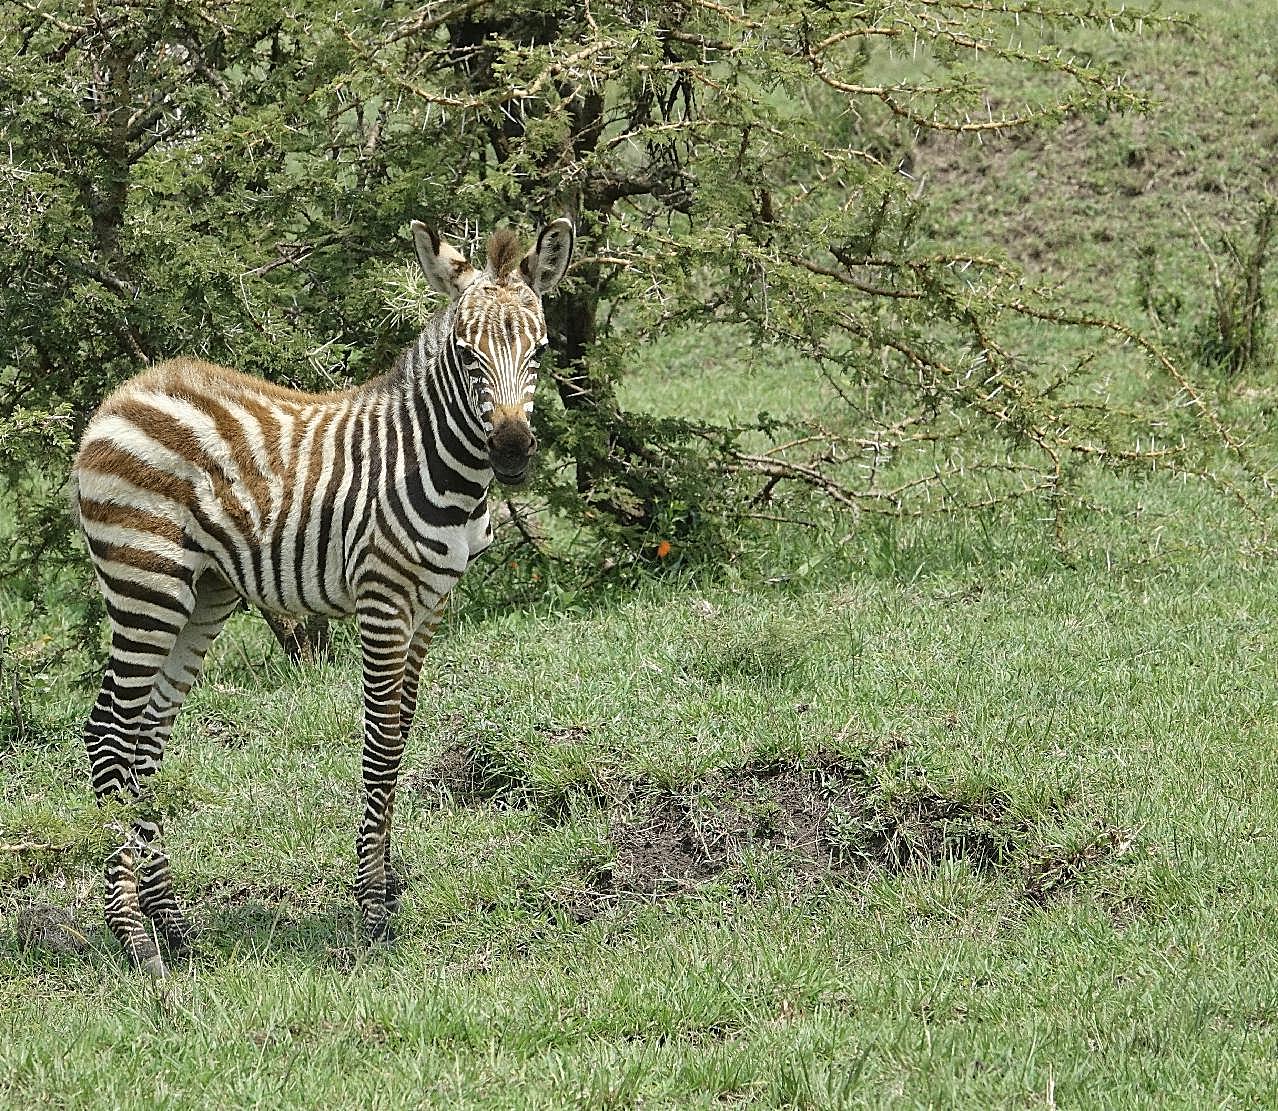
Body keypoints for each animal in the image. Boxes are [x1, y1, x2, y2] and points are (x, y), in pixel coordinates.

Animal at [67, 218, 572, 981]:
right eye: (466, 354)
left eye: (539, 349)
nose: (512, 452)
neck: (433, 461)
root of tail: (122, 394)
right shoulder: (383, 600)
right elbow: (381, 743)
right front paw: (372, 910)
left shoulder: (431, 605)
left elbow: (402, 733)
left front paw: (388, 889)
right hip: (145, 583)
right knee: (109, 733)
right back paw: (133, 937)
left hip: (202, 596)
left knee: (146, 739)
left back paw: (174, 927)